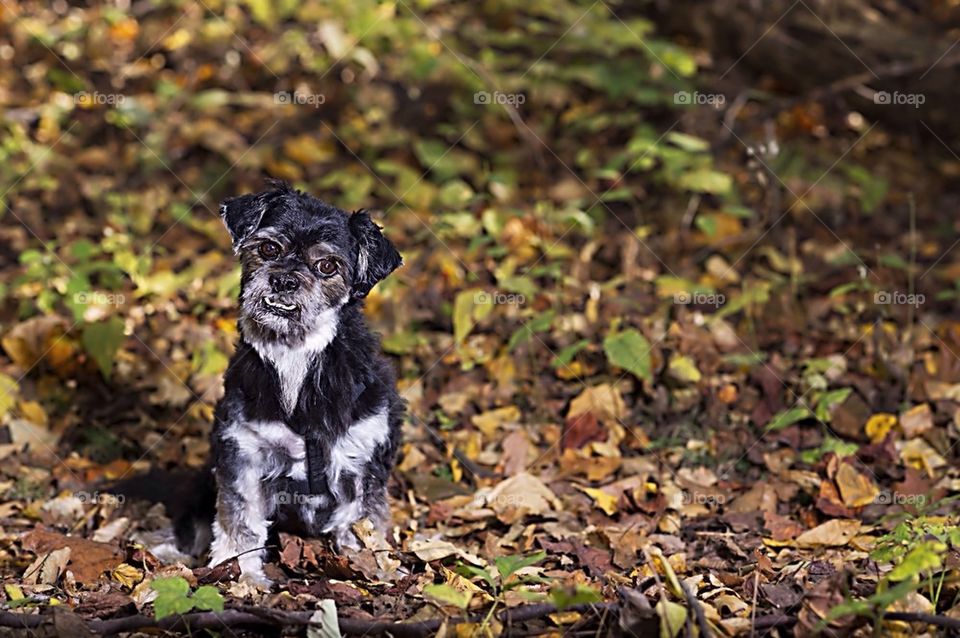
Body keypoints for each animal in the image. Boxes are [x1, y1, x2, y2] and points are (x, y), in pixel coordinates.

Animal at [206, 182, 404, 588]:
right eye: (269, 248)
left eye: (327, 265)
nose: (284, 280)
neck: (294, 355)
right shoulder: (245, 452)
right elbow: (241, 522)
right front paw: (240, 575)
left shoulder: (361, 460)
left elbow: (361, 523)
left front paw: (367, 567)